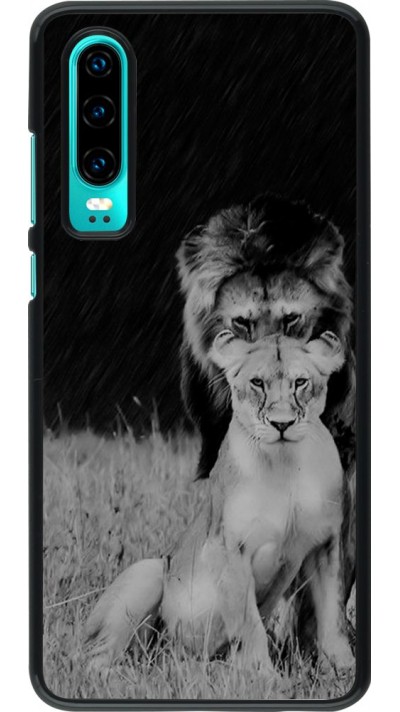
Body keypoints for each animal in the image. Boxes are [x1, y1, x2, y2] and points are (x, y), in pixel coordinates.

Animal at [85, 331, 354, 676]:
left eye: (300, 382)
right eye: (257, 382)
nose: (282, 424)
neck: (284, 463)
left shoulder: (326, 545)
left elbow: (333, 617)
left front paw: (342, 670)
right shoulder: (228, 547)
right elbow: (248, 621)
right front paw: (261, 675)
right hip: (148, 571)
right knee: (94, 657)